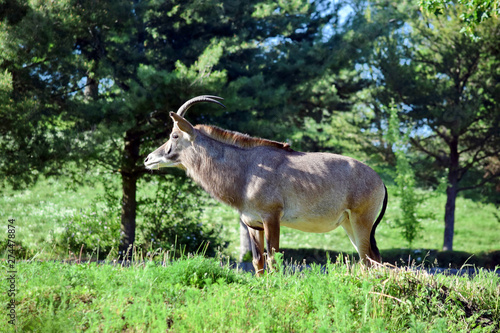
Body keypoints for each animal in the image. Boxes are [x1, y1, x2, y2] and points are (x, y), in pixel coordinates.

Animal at [143, 94, 388, 274]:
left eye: (174, 135)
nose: (148, 159)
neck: (247, 169)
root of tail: (380, 181)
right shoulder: (253, 224)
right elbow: (257, 262)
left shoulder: (272, 218)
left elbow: (273, 260)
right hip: (349, 224)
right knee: (371, 259)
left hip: (361, 221)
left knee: (368, 260)